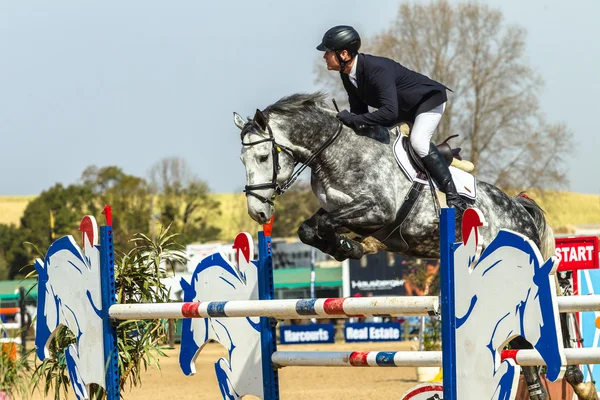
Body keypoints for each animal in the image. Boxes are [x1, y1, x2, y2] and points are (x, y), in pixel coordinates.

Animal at [233, 93, 596, 400]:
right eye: (242, 159)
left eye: (263, 156)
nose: (258, 213)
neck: (338, 152)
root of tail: (520, 208)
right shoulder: (347, 214)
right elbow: (310, 229)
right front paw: (348, 248)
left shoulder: (377, 210)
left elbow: (324, 225)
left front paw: (347, 247)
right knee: (519, 343)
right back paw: (540, 391)